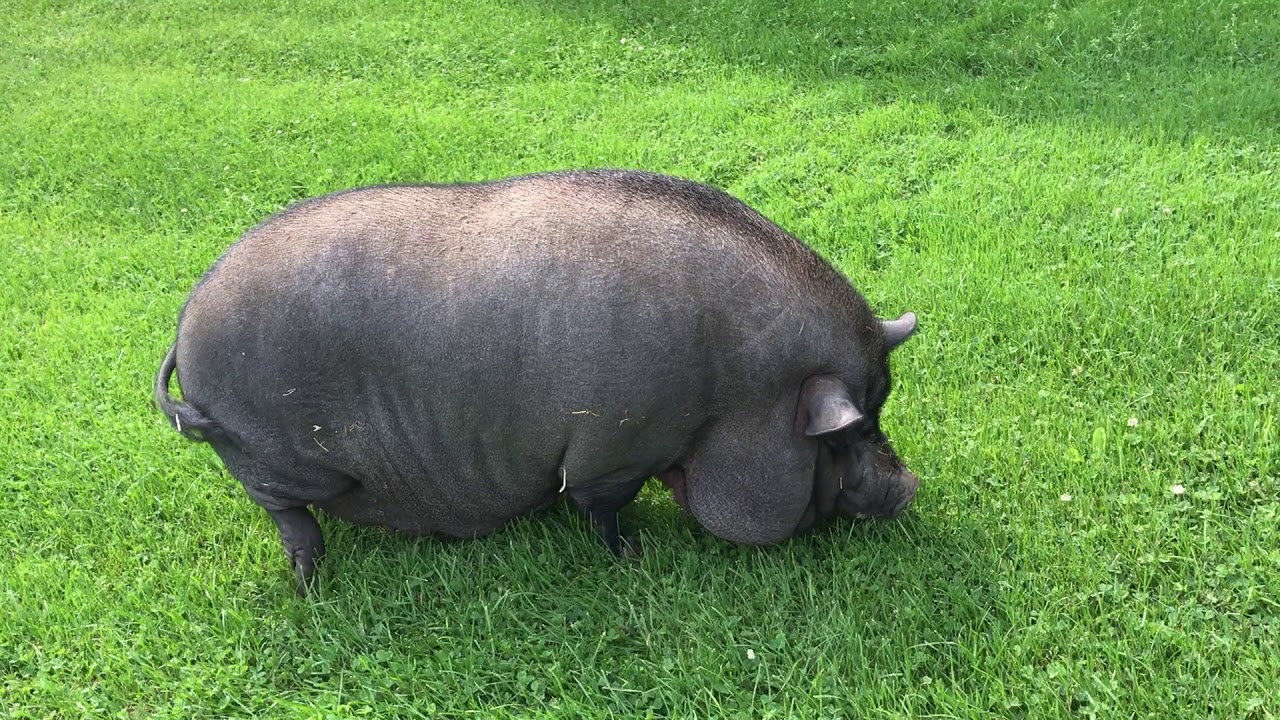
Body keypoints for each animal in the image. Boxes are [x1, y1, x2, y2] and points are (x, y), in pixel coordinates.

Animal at [154, 169, 919, 593]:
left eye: (880, 411)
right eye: (850, 433)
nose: (911, 486)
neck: (735, 394)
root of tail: (186, 323)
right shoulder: (614, 449)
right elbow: (600, 508)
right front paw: (635, 556)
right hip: (275, 464)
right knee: (289, 517)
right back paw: (310, 586)